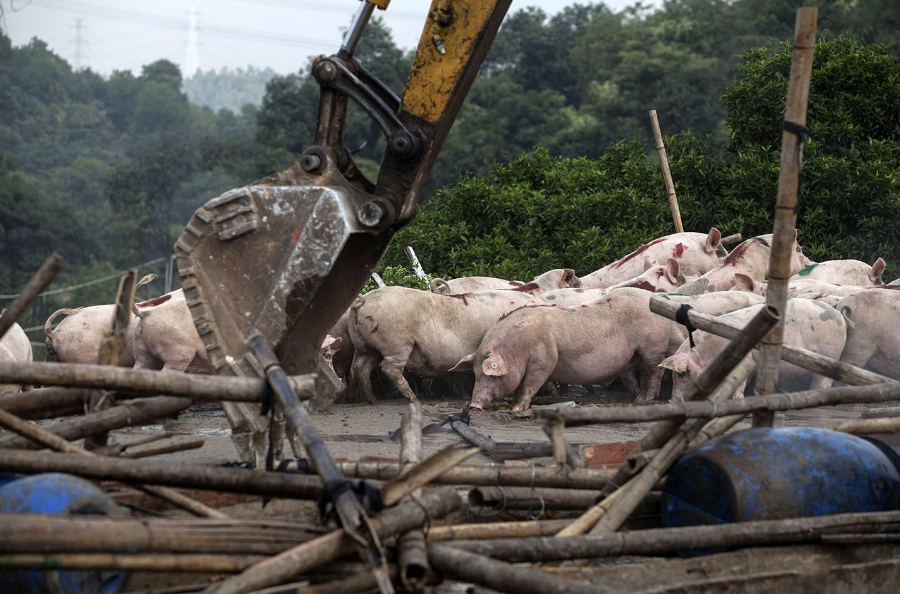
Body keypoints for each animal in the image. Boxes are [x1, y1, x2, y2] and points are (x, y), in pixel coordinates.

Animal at [348, 286, 536, 400]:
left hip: (364, 346)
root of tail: (363, 300)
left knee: (360, 367)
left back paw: (371, 399)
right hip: (397, 344)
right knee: (389, 369)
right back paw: (413, 398)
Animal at [454, 288, 672, 410]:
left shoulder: (544, 360)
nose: (474, 405)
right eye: (475, 374)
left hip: (652, 347)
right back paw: (638, 398)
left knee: (656, 371)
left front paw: (517, 408)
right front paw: (514, 404)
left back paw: (645, 399)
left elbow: (529, 385)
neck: (516, 349)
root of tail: (654, 297)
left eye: (489, 374)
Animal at [660, 298, 844, 400]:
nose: (672, 401)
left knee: (824, 382)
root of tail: (838, 315)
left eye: (682, 374)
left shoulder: (744, 360)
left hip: (831, 353)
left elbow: (739, 386)